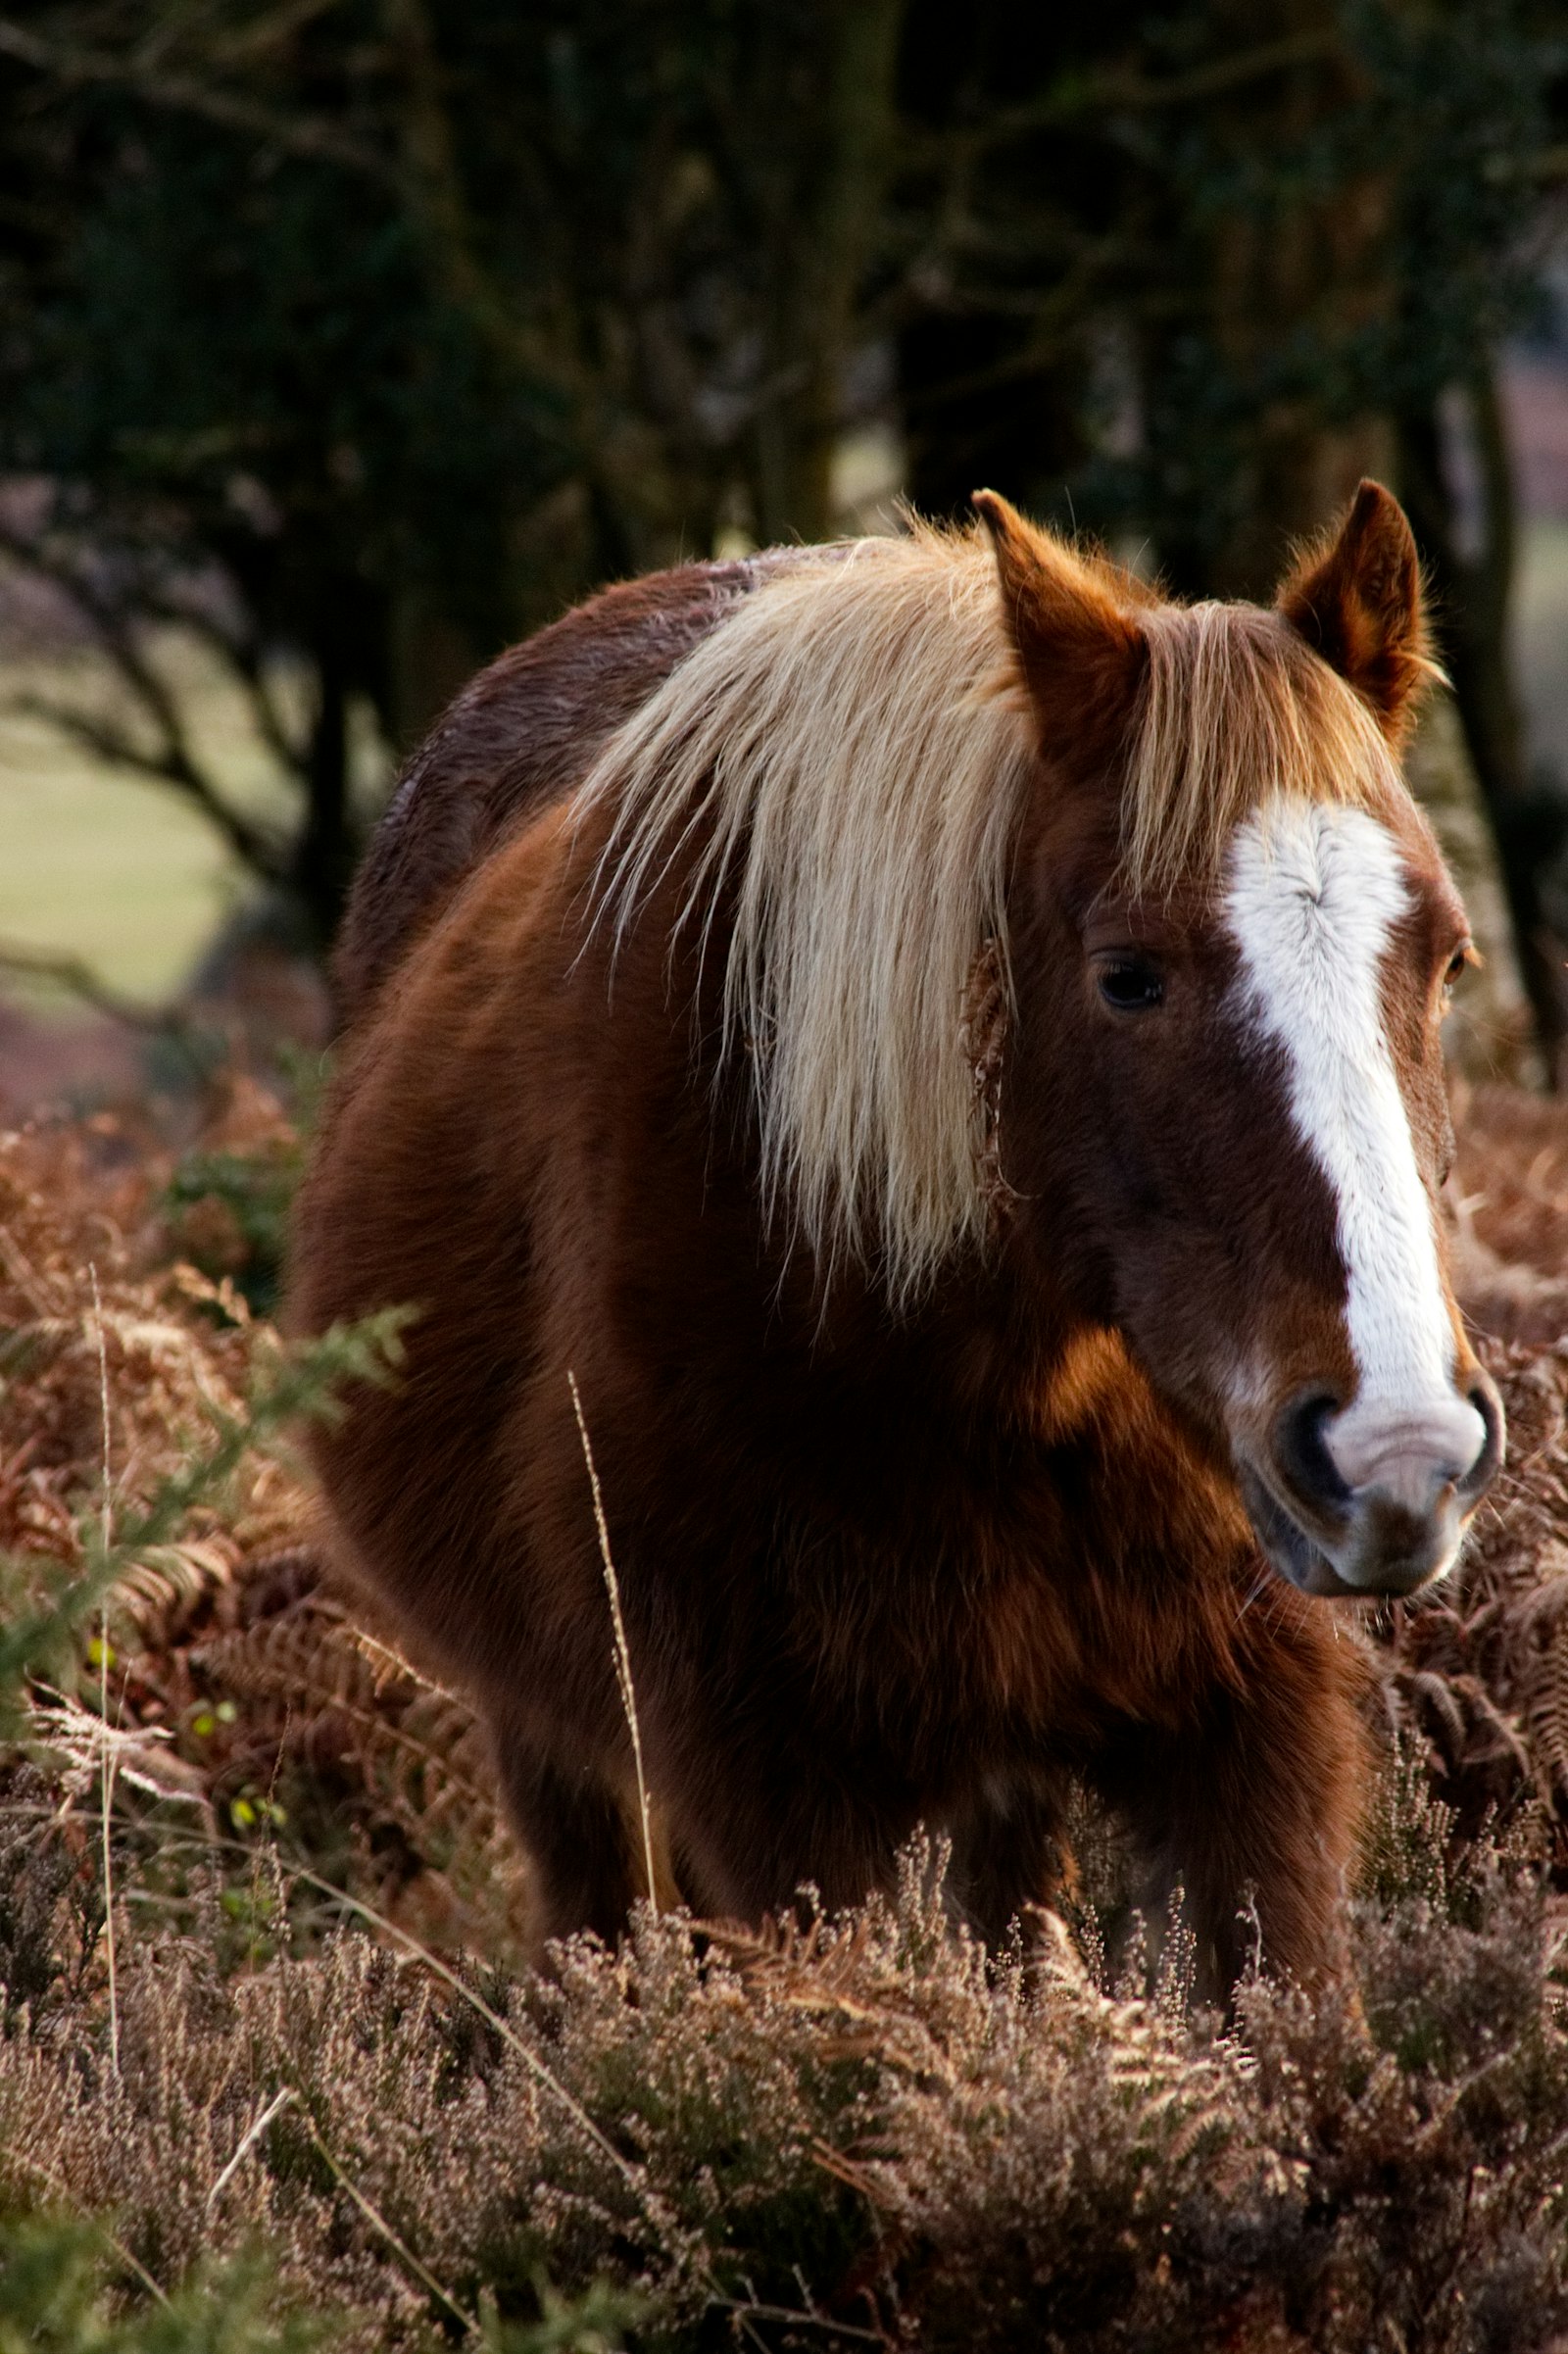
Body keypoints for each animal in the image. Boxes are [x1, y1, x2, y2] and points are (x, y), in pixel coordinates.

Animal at [293, 477, 1506, 1986]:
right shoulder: (780, 1795)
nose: (1397, 1449)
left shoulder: (1249, 1737)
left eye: (1448, 959)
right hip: (570, 1761)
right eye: (1127, 976)